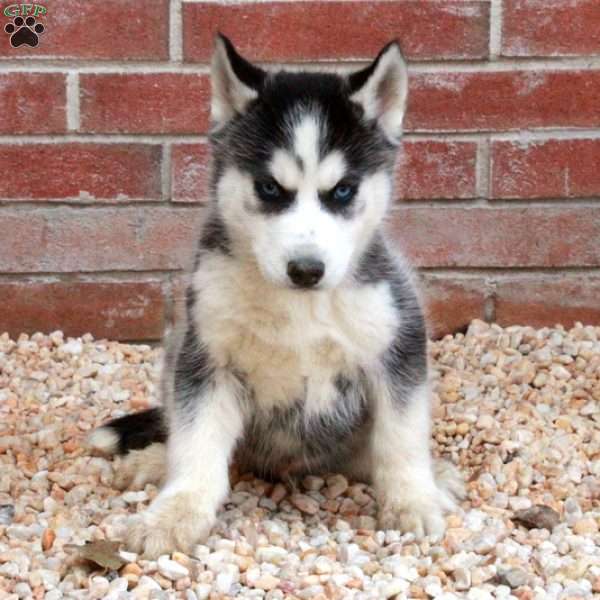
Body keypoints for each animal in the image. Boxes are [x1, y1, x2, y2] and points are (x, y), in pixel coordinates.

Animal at [90, 34, 464, 556]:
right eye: (270, 188)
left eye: (343, 191)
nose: (306, 270)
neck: (301, 307)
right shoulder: (205, 358)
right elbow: (196, 442)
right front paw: (175, 512)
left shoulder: (398, 342)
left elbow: (401, 437)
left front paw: (412, 499)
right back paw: (150, 461)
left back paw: (436, 476)